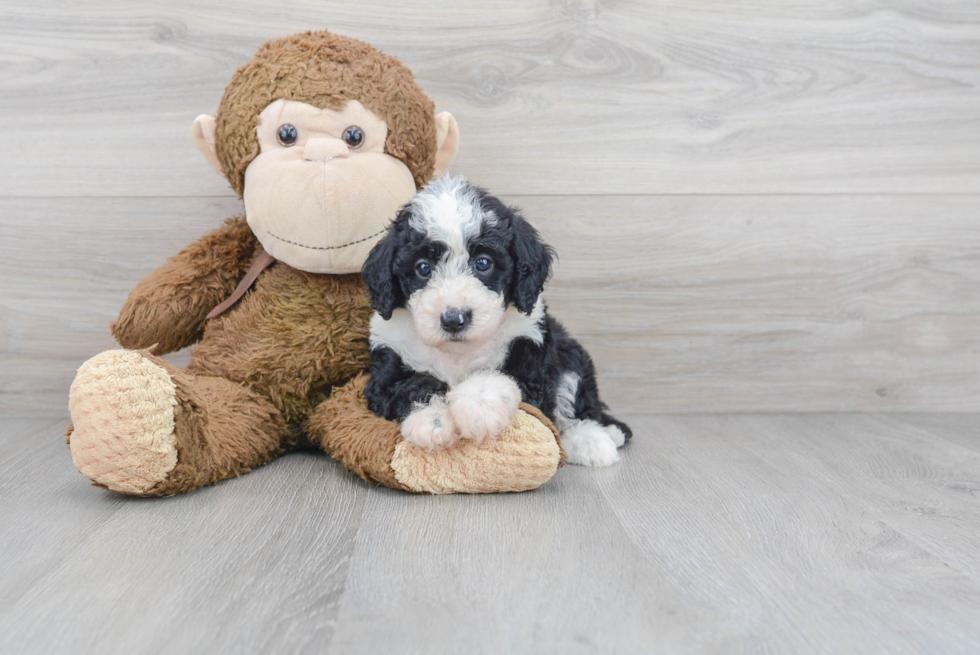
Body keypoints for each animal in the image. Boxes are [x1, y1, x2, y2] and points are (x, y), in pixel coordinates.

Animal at [364, 177, 632, 468]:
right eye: (423, 267)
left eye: (483, 263)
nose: (454, 319)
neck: (458, 351)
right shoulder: (386, 365)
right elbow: (411, 384)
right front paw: (432, 419)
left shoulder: (531, 354)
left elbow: (503, 375)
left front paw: (479, 403)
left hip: (570, 353)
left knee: (576, 404)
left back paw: (596, 438)